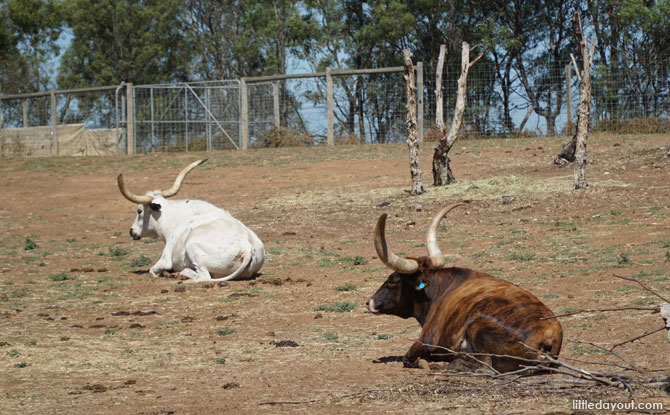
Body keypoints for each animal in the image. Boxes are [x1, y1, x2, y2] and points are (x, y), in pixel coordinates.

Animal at [115, 159, 266, 282]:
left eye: (139, 210)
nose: (132, 231)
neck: (170, 217)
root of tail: (247, 247)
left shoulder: (165, 259)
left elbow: (153, 271)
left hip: (192, 247)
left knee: (203, 276)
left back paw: (182, 273)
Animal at [364, 203, 564, 372]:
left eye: (392, 280)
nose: (369, 302)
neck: (438, 291)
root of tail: (550, 336)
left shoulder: (426, 341)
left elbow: (408, 358)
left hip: (478, 326)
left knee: (483, 367)